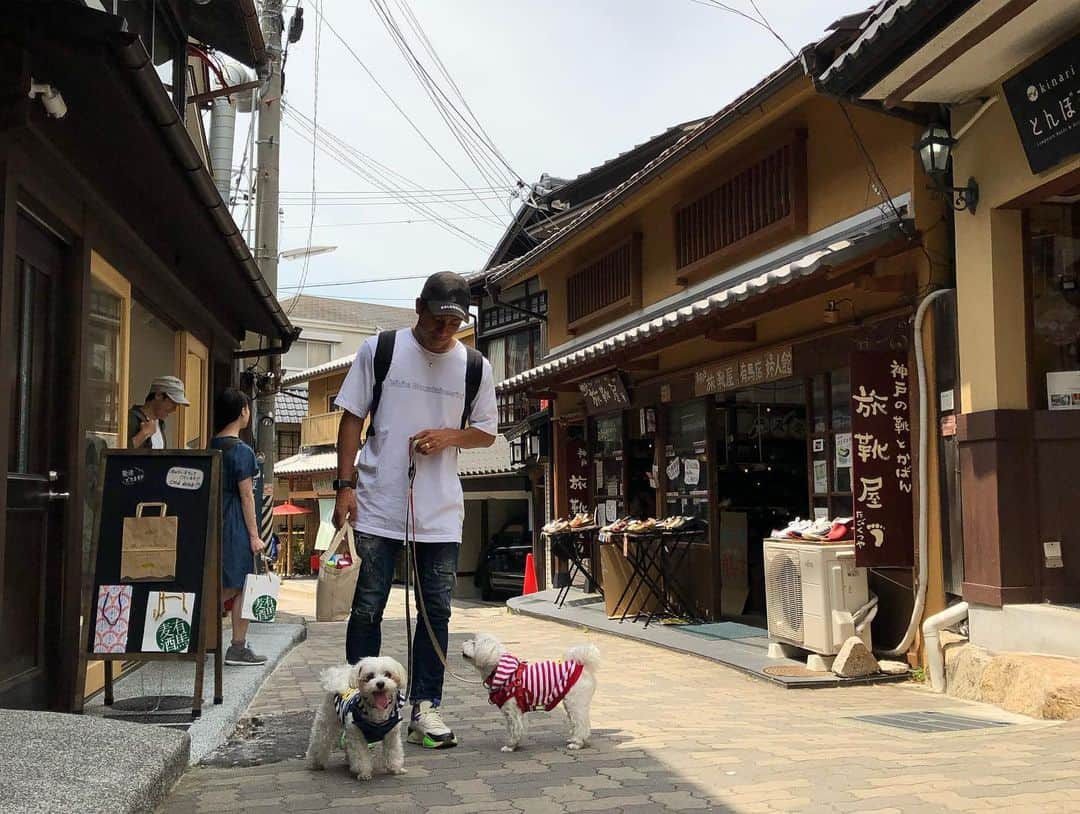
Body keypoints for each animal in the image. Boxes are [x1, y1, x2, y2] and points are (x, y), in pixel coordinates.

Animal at [304, 652, 408, 781]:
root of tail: (340, 680)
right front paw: (364, 772)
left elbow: (394, 752)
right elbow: (360, 756)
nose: (380, 683)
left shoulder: (392, 734)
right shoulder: (357, 735)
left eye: (388, 674)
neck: (376, 711)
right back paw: (315, 763)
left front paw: (396, 769)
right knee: (319, 741)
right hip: (327, 722)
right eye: (370, 676)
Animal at [462, 630, 604, 751]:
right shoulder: (519, 710)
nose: (464, 640)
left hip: (574, 701)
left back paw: (577, 743)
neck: (502, 672)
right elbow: (520, 727)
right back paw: (575, 739)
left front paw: (510, 746)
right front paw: (516, 744)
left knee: (581, 723)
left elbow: (514, 729)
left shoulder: (512, 711)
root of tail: (583, 666)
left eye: (474, 643)